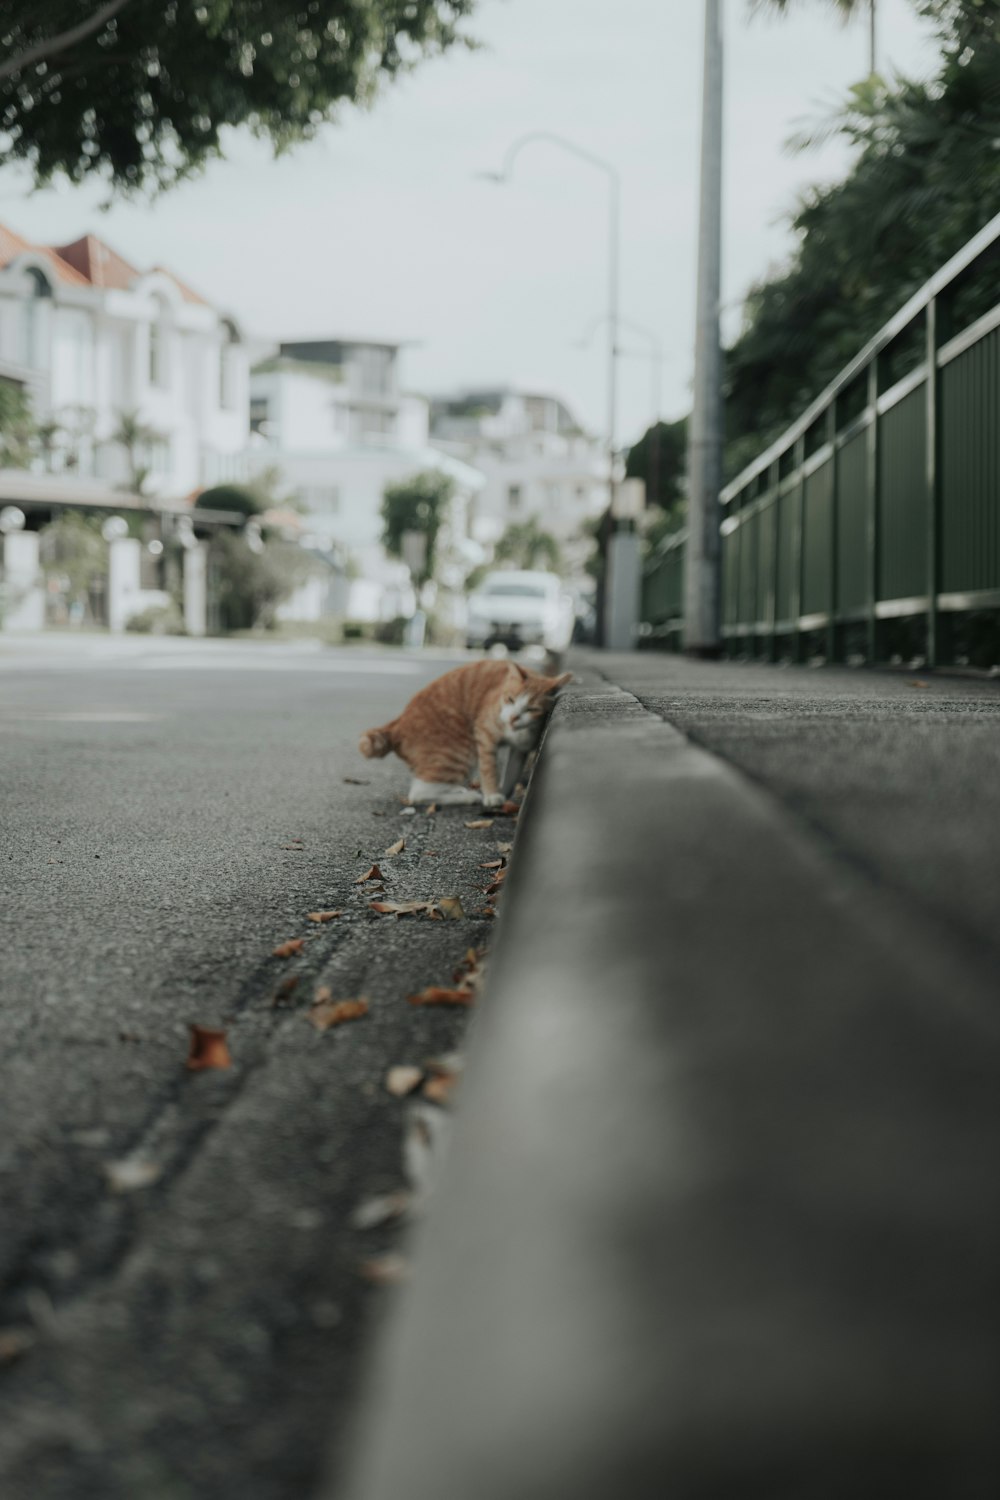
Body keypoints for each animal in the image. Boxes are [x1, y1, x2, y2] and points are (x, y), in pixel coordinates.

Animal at [361, 663, 569, 810]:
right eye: (510, 699)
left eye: (532, 709)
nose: (513, 717)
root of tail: (397, 723)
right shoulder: (484, 736)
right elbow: (489, 768)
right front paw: (492, 795)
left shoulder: (520, 749)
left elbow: (512, 774)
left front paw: (504, 794)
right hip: (461, 752)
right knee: (419, 793)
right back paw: (469, 797)